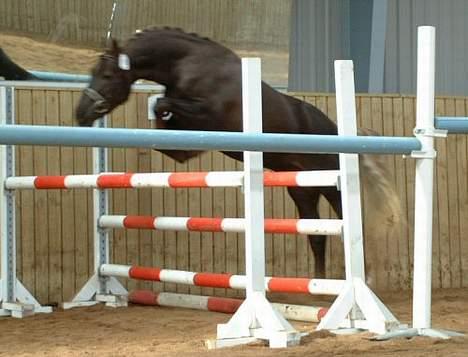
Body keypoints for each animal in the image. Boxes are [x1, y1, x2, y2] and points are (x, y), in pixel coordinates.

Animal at [75, 27, 400, 278]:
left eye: (106, 75)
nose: (81, 114)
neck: (189, 63)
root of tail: (335, 130)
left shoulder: (208, 113)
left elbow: (162, 104)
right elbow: (163, 123)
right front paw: (178, 145)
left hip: (331, 185)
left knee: (348, 222)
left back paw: (363, 278)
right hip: (302, 189)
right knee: (315, 235)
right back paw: (317, 287)